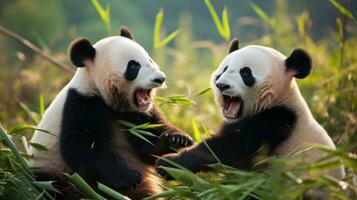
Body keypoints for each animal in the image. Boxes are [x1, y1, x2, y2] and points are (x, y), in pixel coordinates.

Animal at [29, 27, 193, 200]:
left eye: (150, 60)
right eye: (133, 66)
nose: (160, 78)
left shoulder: (138, 114)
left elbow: (149, 143)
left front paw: (177, 139)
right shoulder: (80, 104)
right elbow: (84, 149)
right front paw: (130, 177)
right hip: (52, 175)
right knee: (54, 187)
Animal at [154, 37, 344, 180]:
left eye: (245, 73)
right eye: (224, 69)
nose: (222, 85)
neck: (279, 98)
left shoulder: (275, 120)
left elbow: (226, 149)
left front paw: (167, 164)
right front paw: (175, 141)